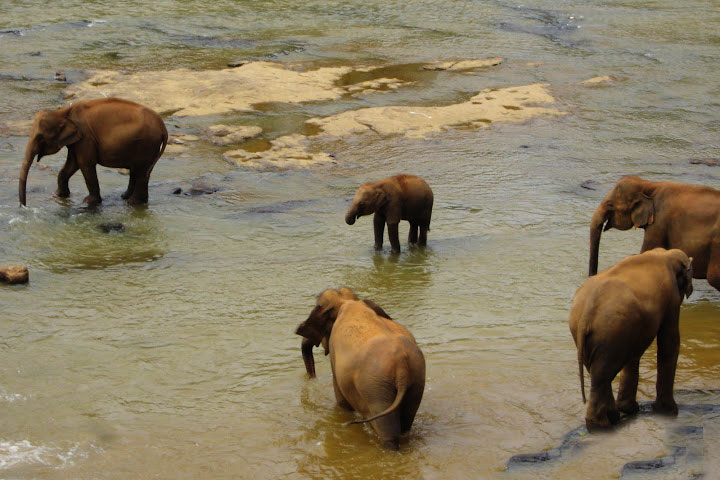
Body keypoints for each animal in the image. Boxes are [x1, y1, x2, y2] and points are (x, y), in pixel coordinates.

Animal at [19, 98, 167, 207]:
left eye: (39, 137)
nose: (23, 206)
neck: (64, 112)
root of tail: (162, 125)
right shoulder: (77, 140)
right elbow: (72, 164)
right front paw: (58, 195)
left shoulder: (86, 137)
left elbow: (85, 164)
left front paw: (88, 202)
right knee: (139, 171)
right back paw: (126, 197)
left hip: (147, 144)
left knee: (141, 171)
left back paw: (133, 203)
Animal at [296, 286, 424, 448]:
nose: (312, 378)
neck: (347, 301)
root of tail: (402, 364)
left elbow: (341, 397)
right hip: (416, 379)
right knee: (407, 421)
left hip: (375, 388)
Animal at [568, 249, 692, 430]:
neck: (664, 253)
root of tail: (586, 313)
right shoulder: (672, 298)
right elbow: (669, 341)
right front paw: (669, 412)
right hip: (611, 332)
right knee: (603, 375)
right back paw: (603, 425)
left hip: (601, 333)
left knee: (600, 375)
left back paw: (612, 418)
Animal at [588, 175, 720, 290]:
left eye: (610, 204)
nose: (591, 277)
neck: (650, 185)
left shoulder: (659, 222)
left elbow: (647, 251)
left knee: (714, 277)